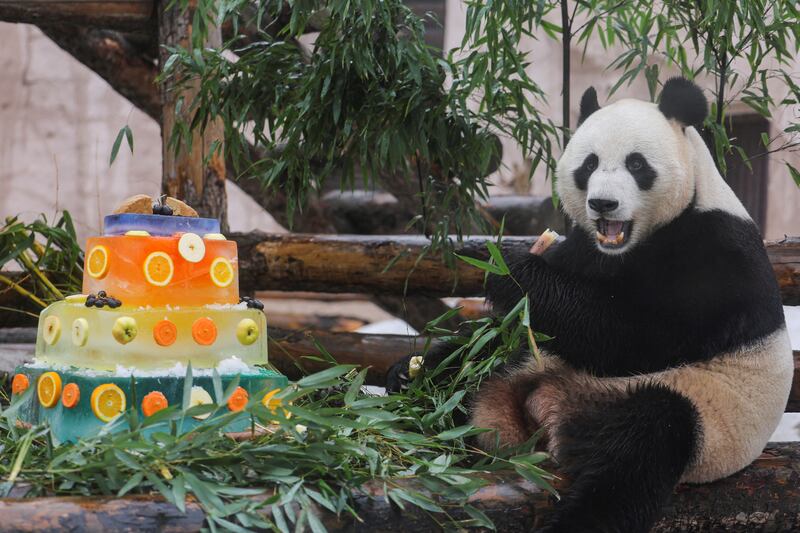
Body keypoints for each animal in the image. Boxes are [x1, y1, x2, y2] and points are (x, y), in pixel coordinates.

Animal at [390, 77, 792, 528]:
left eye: (637, 165)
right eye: (589, 165)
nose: (603, 203)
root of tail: (548, 412)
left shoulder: (716, 256)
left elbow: (628, 335)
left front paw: (511, 269)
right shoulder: (586, 249)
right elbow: (530, 325)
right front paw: (412, 366)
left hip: (704, 417)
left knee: (641, 448)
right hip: (528, 365)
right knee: (477, 367)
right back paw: (412, 384)